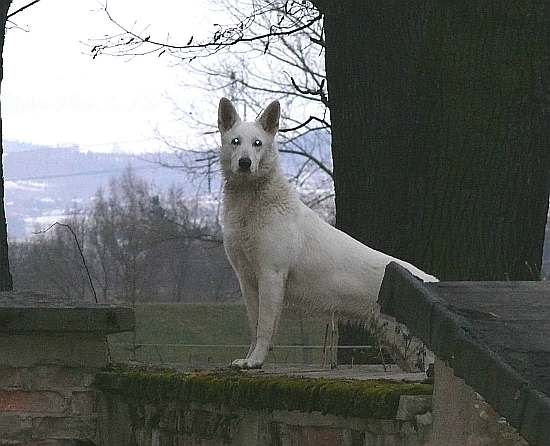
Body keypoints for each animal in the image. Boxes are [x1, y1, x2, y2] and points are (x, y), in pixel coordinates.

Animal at [218, 98, 438, 370]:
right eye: (235, 141)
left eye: (257, 143)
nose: (245, 163)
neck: (252, 202)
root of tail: (432, 283)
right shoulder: (247, 280)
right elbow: (254, 325)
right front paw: (249, 358)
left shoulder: (271, 275)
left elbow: (265, 328)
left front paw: (256, 360)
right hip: (401, 348)